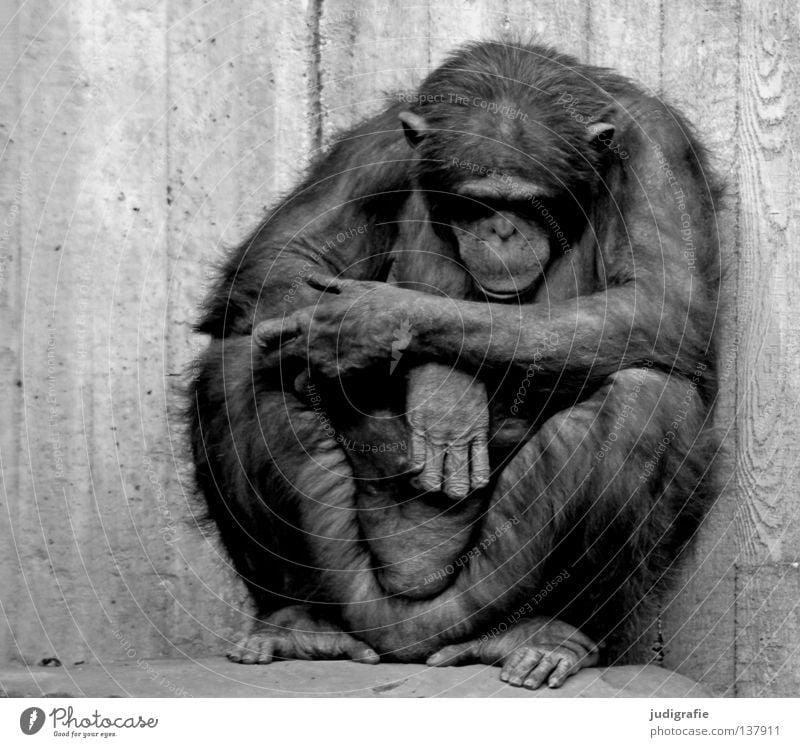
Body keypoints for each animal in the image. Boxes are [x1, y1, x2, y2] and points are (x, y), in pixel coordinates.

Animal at [191, 41, 720, 688]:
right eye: (476, 202)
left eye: (531, 204)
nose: (502, 230)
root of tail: (412, 639)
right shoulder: (375, 146)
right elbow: (282, 259)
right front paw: (436, 386)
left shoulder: (657, 148)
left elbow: (661, 300)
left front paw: (382, 323)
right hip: (355, 583)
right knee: (241, 362)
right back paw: (300, 622)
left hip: (486, 590)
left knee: (644, 399)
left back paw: (543, 633)